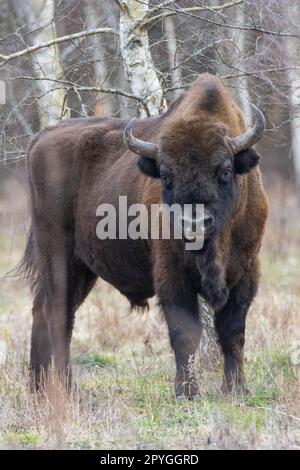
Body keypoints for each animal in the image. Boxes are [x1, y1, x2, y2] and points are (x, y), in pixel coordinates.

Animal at [19, 73, 268, 396]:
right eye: (166, 175)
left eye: (225, 171)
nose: (194, 222)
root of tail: (39, 139)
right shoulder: (172, 275)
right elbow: (185, 333)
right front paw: (187, 392)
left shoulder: (246, 272)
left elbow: (233, 332)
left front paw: (236, 388)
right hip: (58, 256)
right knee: (58, 315)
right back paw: (67, 388)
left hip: (82, 267)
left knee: (42, 310)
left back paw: (38, 388)